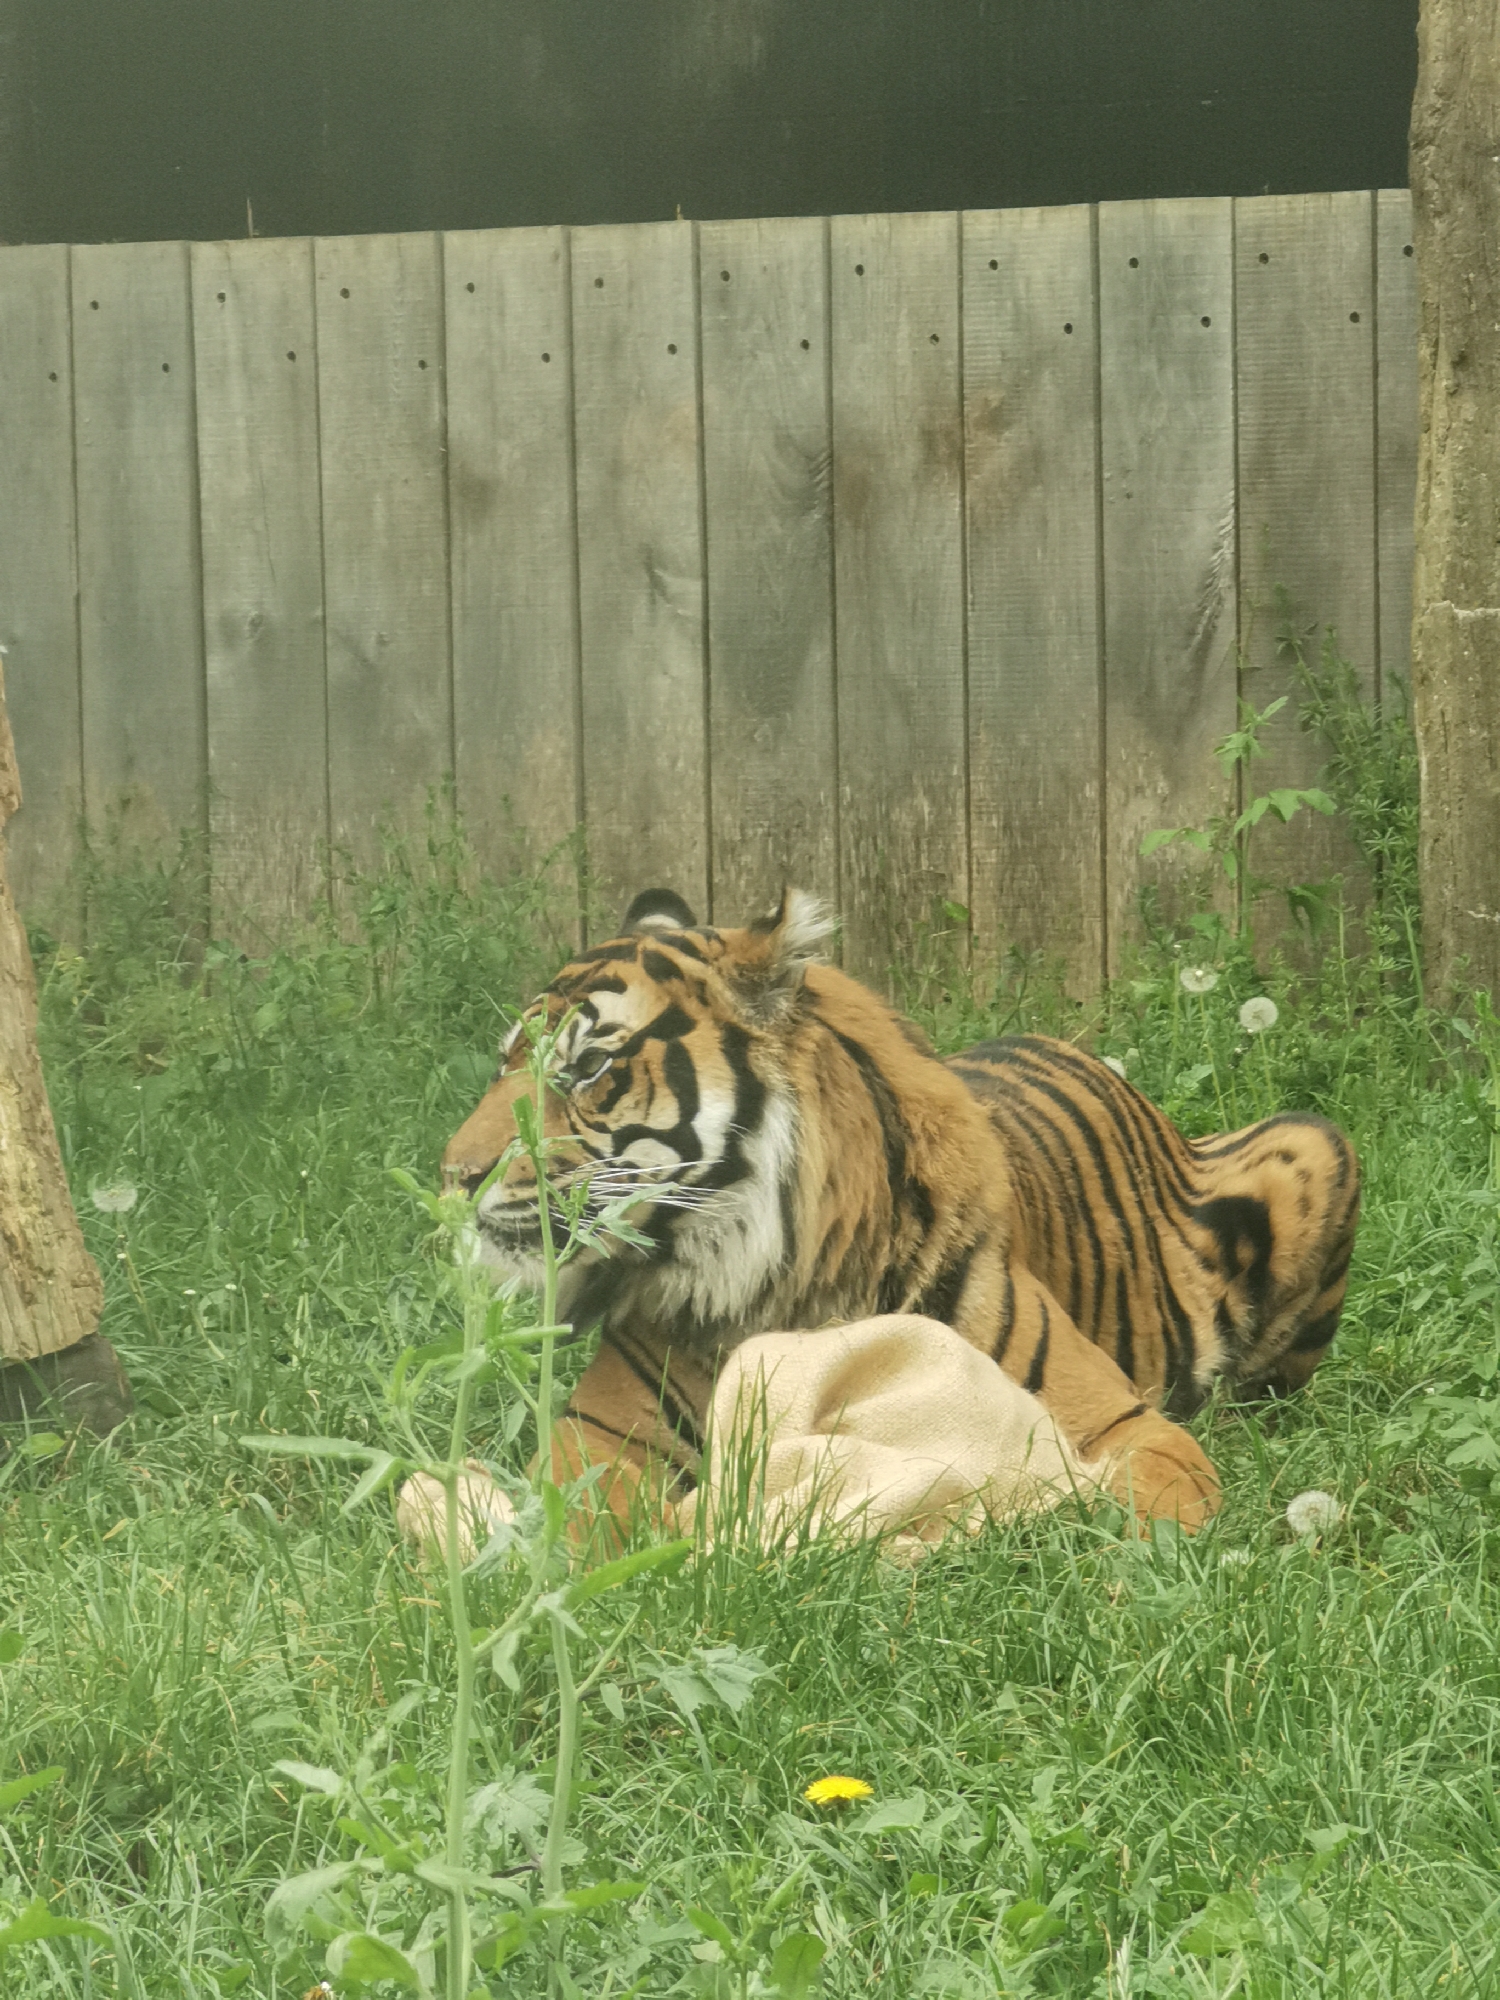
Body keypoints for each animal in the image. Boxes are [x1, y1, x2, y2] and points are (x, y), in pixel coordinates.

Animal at [441, 888, 1360, 1534]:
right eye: (503, 1063)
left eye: (588, 1069)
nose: (453, 1177)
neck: (766, 1280)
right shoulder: (602, 1445)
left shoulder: (1125, 1429)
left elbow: (1110, 1513)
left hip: (1316, 1143)